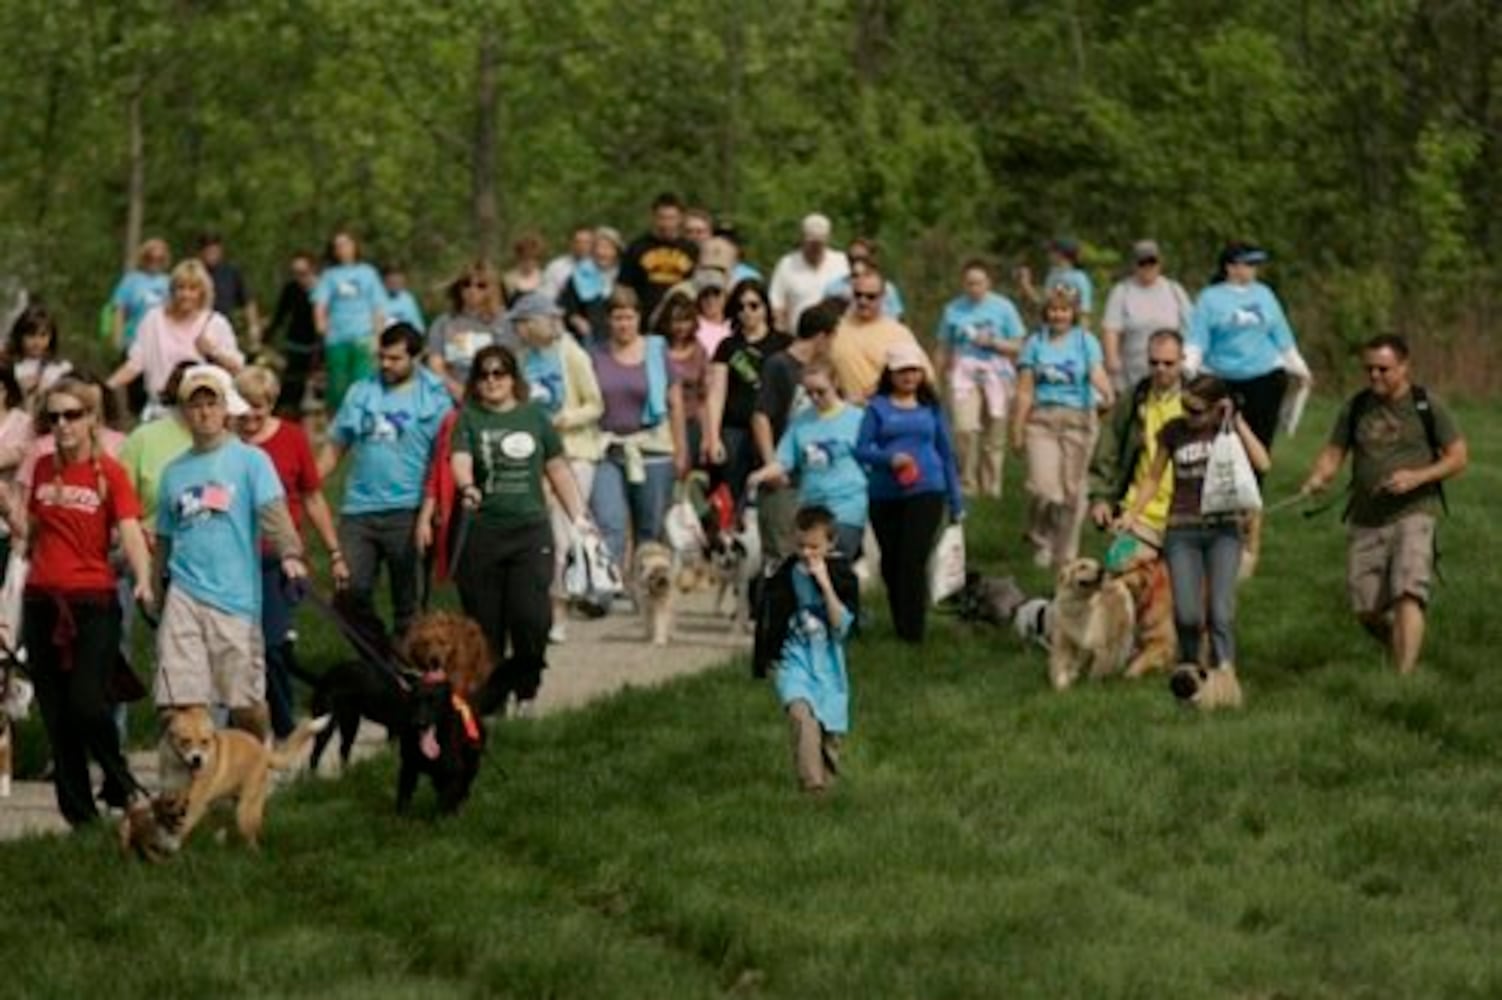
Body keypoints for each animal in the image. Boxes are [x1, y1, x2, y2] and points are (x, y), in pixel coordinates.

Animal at [162, 699, 330, 846]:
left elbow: (181, 827)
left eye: (205, 742)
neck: (180, 766)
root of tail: (263, 751)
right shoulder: (170, 797)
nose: (197, 759)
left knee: (251, 838)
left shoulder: (194, 804)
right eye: (185, 741)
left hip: (245, 810)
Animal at [399, 666, 486, 816]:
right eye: (415, 701)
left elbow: (446, 802)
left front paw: (443, 819)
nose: (419, 724)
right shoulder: (409, 766)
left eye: (434, 702)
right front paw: (399, 818)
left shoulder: (453, 771)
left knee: (464, 790)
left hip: (470, 765)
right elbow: (404, 794)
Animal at [1051, 555, 1129, 690]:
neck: (1078, 606)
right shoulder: (1062, 643)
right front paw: (1063, 684)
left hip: (1120, 634)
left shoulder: (1098, 646)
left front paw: (1092, 686)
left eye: (1097, 564)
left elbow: (1095, 673)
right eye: (1082, 566)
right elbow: (1061, 666)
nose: (1102, 570)